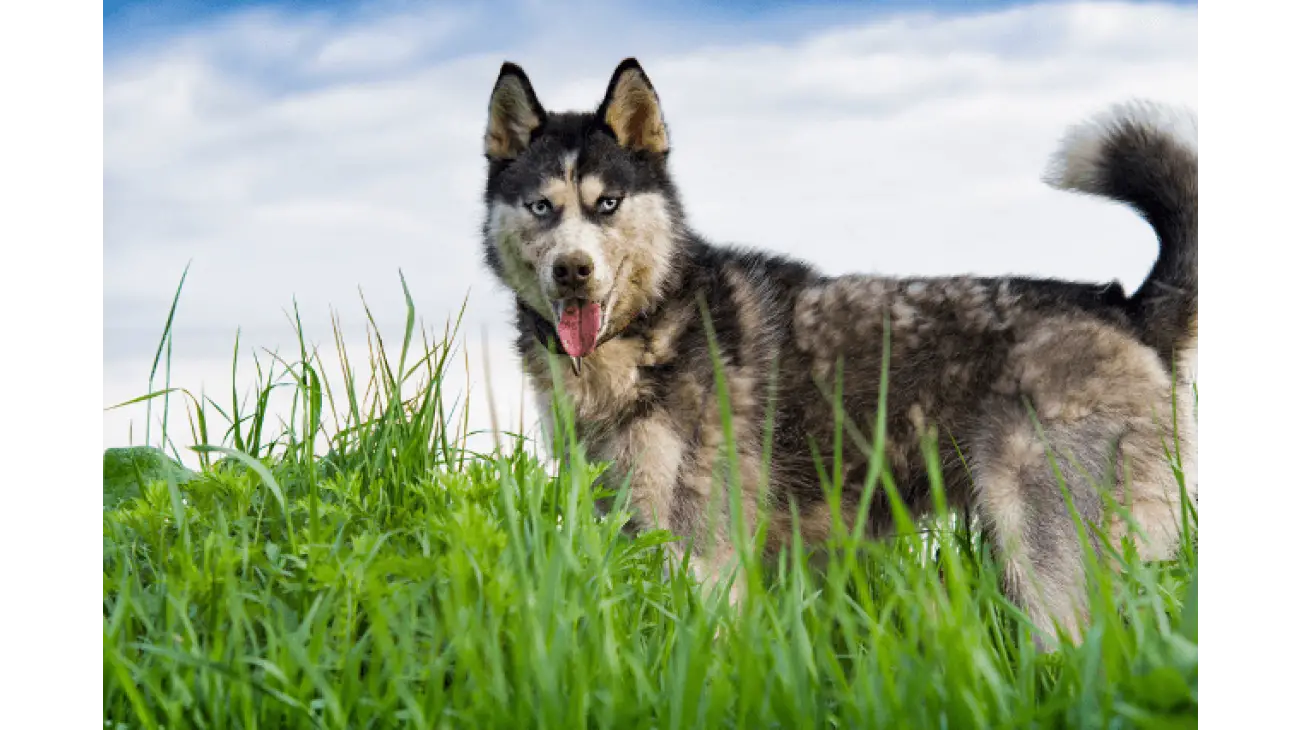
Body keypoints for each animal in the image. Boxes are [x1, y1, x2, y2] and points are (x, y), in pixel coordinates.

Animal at [478, 59, 1196, 644]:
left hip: (1046, 557)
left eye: (607, 204)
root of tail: (1123, 307)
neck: (648, 328)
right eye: (541, 207)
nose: (573, 271)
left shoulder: (701, 551)